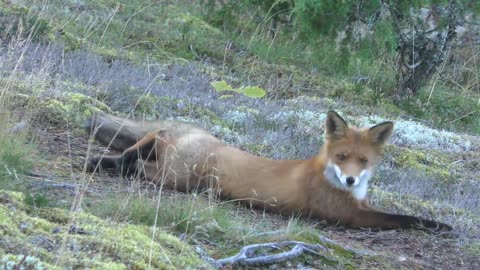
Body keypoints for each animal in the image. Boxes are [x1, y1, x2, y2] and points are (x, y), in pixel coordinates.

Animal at [87, 111, 454, 232]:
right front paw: (440, 226)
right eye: (342, 156)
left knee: (136, 151)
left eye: (363, 161)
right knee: (137, 161)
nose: (350, 178)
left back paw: (103, 163)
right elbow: (402, 218)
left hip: (171, 163)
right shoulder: (351, 215)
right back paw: (111, 164)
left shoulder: (359, 205)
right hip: (177, 178)